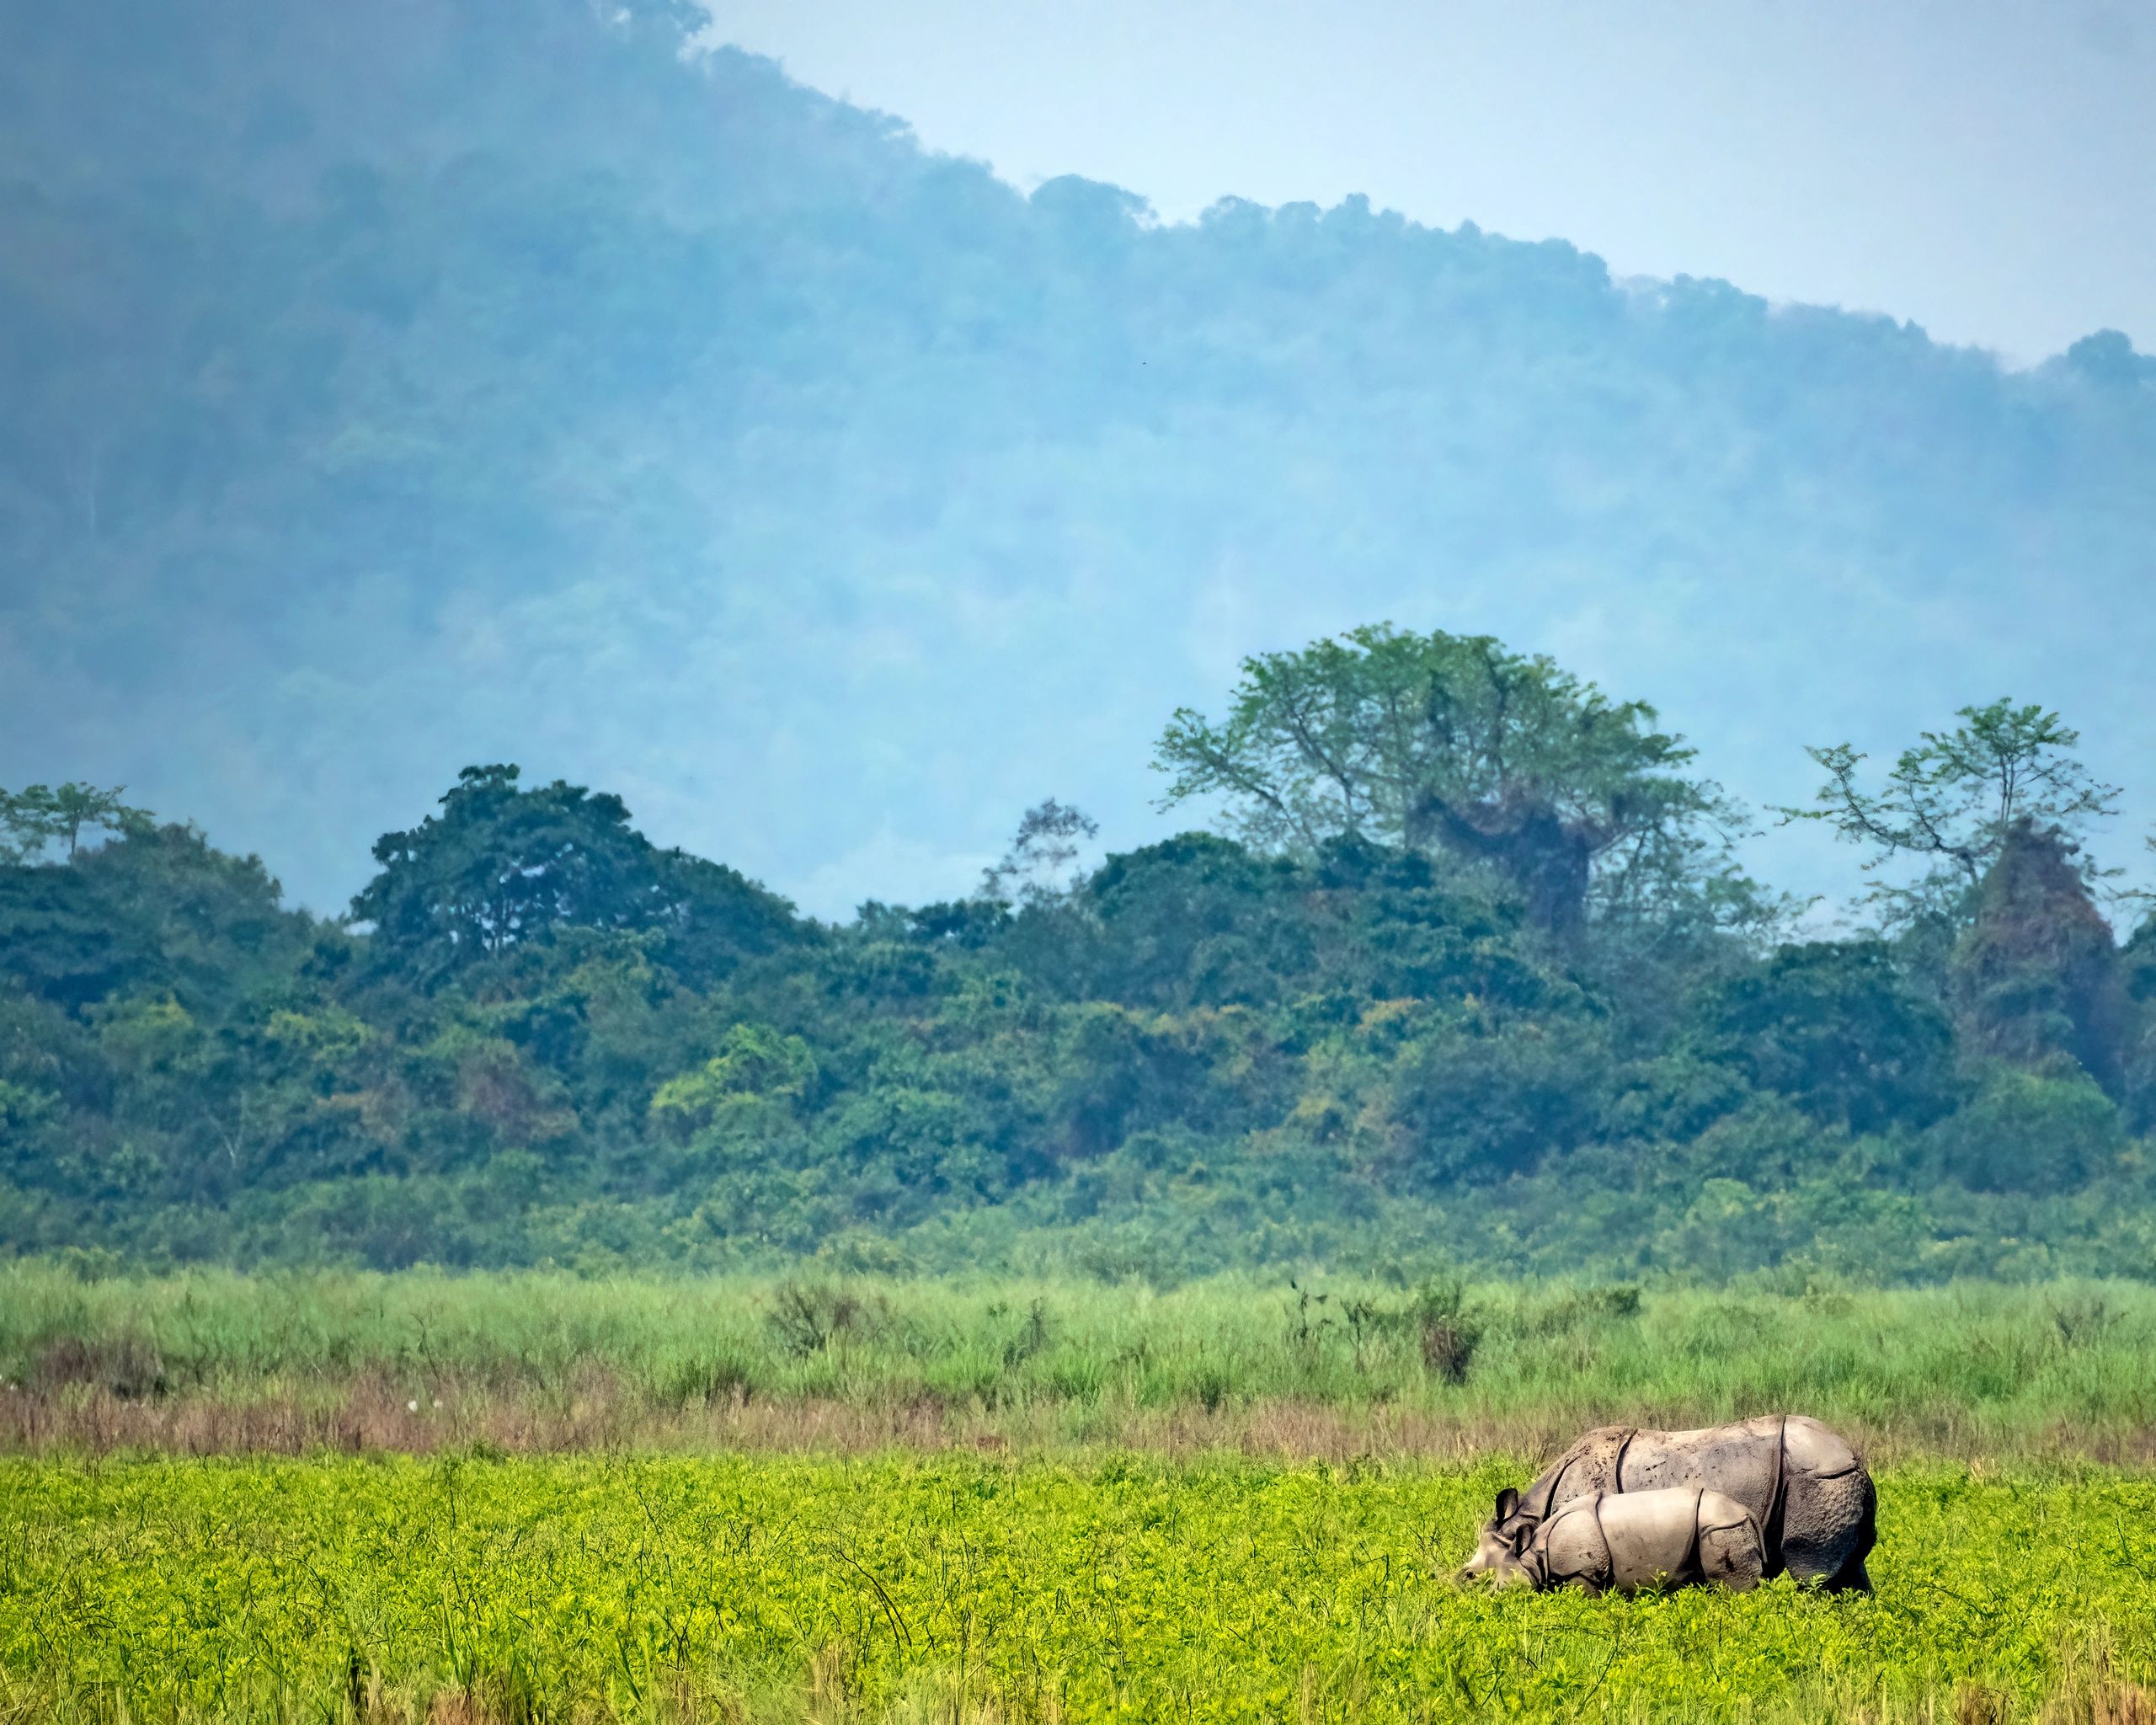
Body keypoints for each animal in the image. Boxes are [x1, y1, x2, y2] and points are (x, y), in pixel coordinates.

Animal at [1464, 1486, 1765, 1594]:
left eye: (1503, 1588)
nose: (1492, 1598)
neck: (1534, 1555)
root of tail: (1749, 1513)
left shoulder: (1582, 1571)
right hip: (1720, 1525)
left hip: (1721, 1526)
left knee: (1730, 1587)